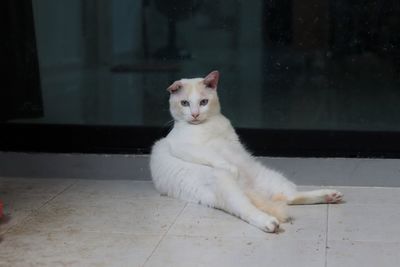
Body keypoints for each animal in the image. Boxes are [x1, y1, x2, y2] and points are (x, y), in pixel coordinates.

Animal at [148, 70, 342, 232]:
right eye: (185, 103)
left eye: (203, 102)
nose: (195, 114)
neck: (206, 125)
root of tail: (249, 189)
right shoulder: (182, 147)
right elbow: (212, 155)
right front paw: (232, 168)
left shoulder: (233, 143)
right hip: (226, 188)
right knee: (249, 208)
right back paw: (268, 222)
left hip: (269, 177)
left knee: (288, 197)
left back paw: (328, 196)